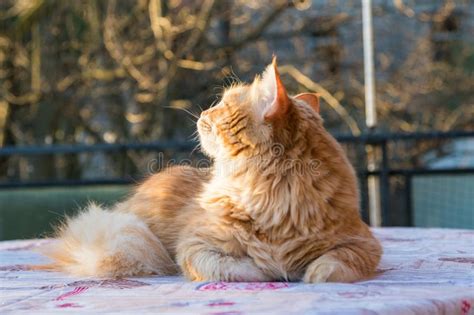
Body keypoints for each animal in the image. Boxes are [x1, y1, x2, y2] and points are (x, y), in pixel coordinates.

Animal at [39, 58, 384, 282]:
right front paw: (267, 270)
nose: (203, 112)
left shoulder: (364, 243)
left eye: (223, 106)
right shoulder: (194, 246)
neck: (271, 198)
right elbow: (234, 269)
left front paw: (311, 273)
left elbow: (335, 265)